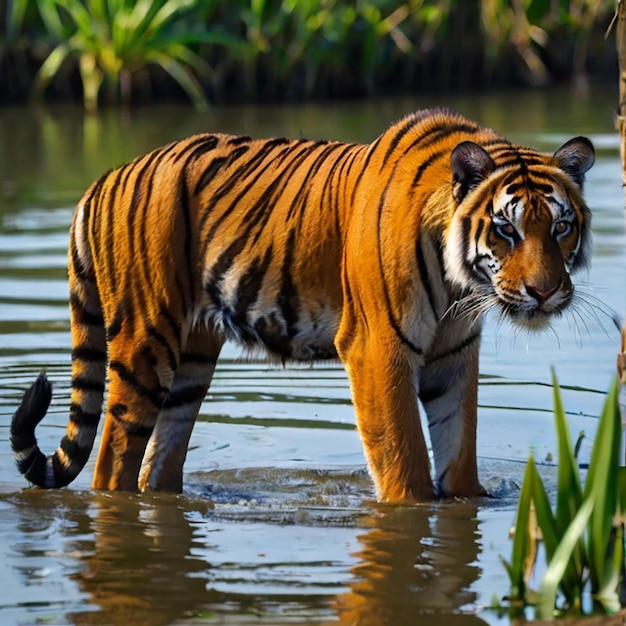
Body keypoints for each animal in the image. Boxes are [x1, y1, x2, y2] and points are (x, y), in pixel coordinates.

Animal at [11, 106, 596, 498]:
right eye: (506, 230)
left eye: (561, 227)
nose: (545, 291)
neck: (462, 286)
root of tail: (103, 179)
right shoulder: (377, 347)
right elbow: (404, 459)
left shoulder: (452, 356)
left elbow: (459, 449)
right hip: (145, 344)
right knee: (111, 461)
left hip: (191, 361)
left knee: (159, 460)